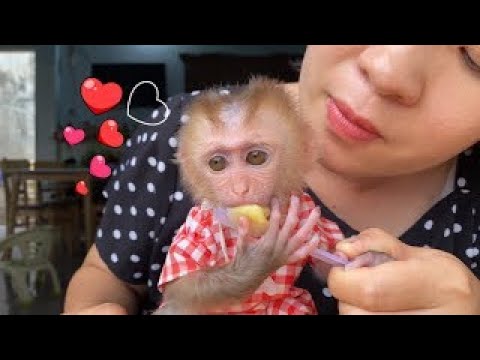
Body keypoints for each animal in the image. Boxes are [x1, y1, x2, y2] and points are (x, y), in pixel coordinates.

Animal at [154, 76, 344, 316]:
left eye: (255, 157)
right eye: (217, 163)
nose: (240, 188)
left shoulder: (306, 207)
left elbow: (327, 259)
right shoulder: (199, 224)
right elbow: (182, 289)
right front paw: (258, 260)